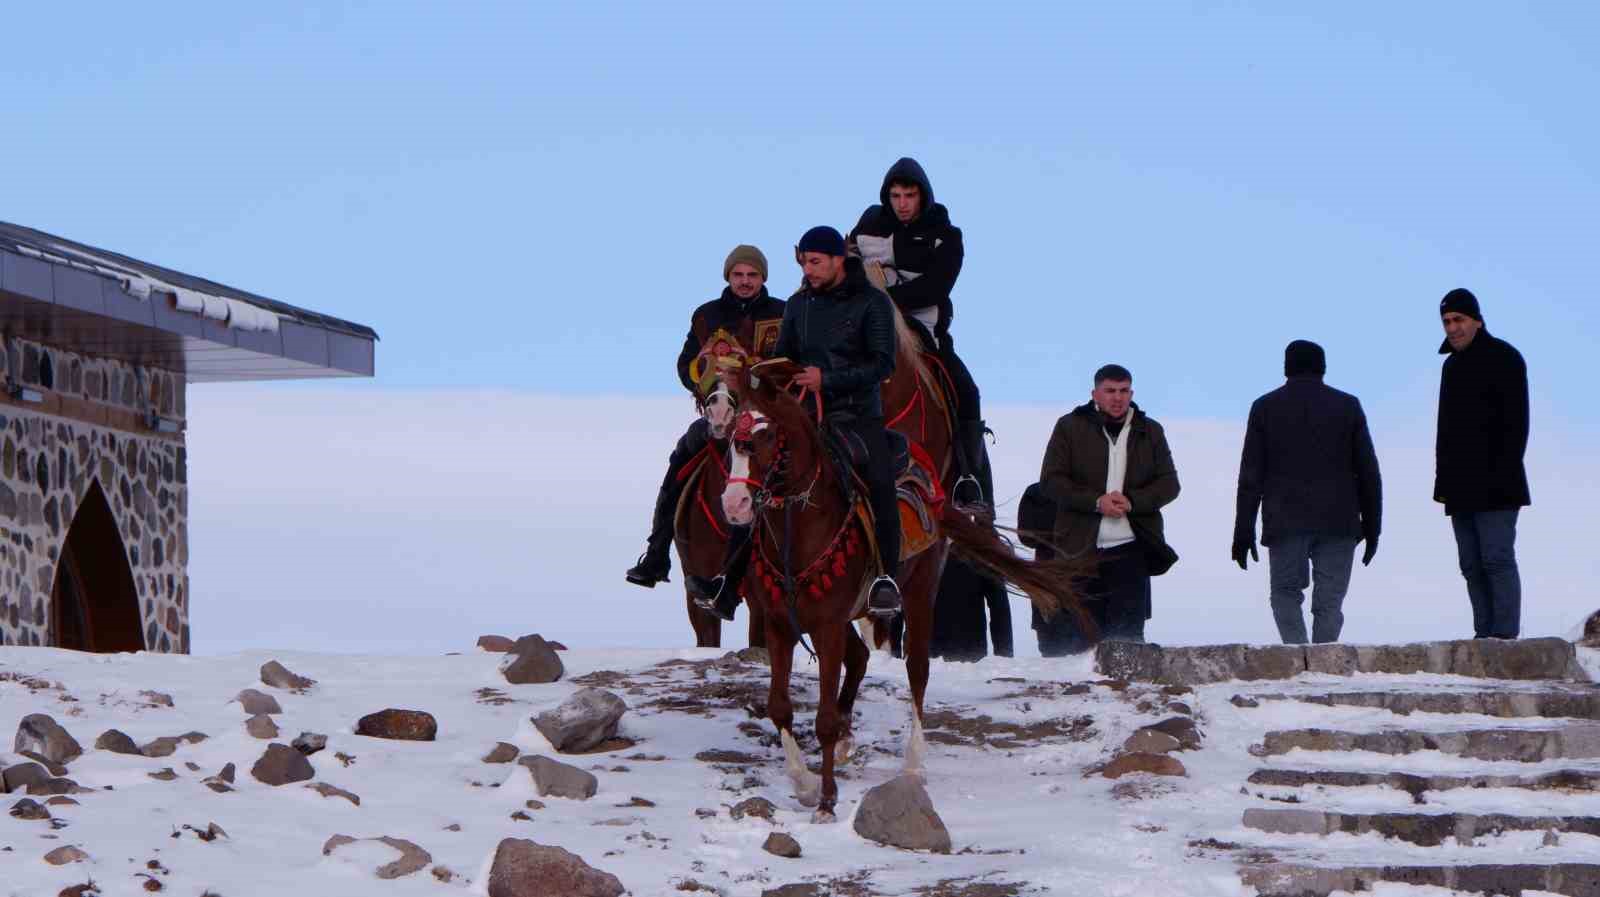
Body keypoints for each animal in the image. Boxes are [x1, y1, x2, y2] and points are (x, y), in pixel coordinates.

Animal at [720, 353, 1094, 825]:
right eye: (732, 439)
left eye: (767, 434)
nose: (734, 506)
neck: (798, 530)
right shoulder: (779, 624)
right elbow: (780, 707)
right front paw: (804, 784)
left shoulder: (826, 626)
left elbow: (822, 718)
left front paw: (826, 801)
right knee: (861, 659)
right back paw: (849, 740)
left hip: (916, 597)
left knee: (917, 671)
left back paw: (913, 763)